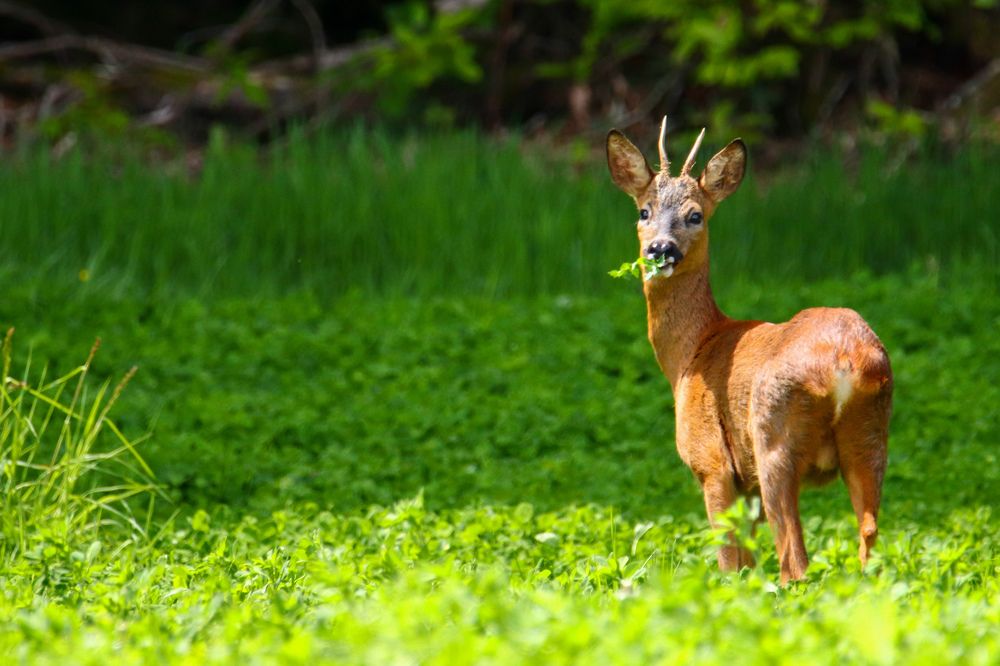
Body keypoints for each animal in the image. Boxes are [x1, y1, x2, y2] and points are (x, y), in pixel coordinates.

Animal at [606, 118, 893, 584]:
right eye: (643, 211)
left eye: (695, 215)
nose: (661, 249)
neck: (692, 353)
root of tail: (845, 363)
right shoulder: (748, 486)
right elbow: (747, 563)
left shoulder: (713, 463)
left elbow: (728, 562)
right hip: (870, 435)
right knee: (868, 536)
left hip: (773, 436)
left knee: (794, 560)